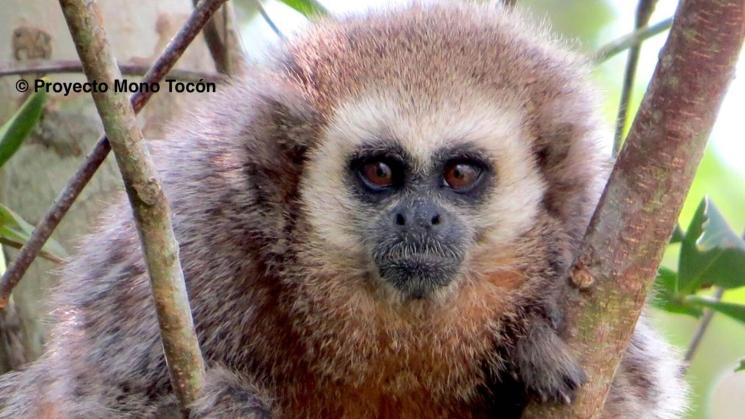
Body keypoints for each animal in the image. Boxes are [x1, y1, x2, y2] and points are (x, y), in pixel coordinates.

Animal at [0, 2, 687, 418]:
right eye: (379, 173)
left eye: (459, 174)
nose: (420, 218)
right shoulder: (198, 238)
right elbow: (97, 392)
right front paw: (237, 406)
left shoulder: (584, 252)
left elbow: (630, 392)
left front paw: (525, 350)